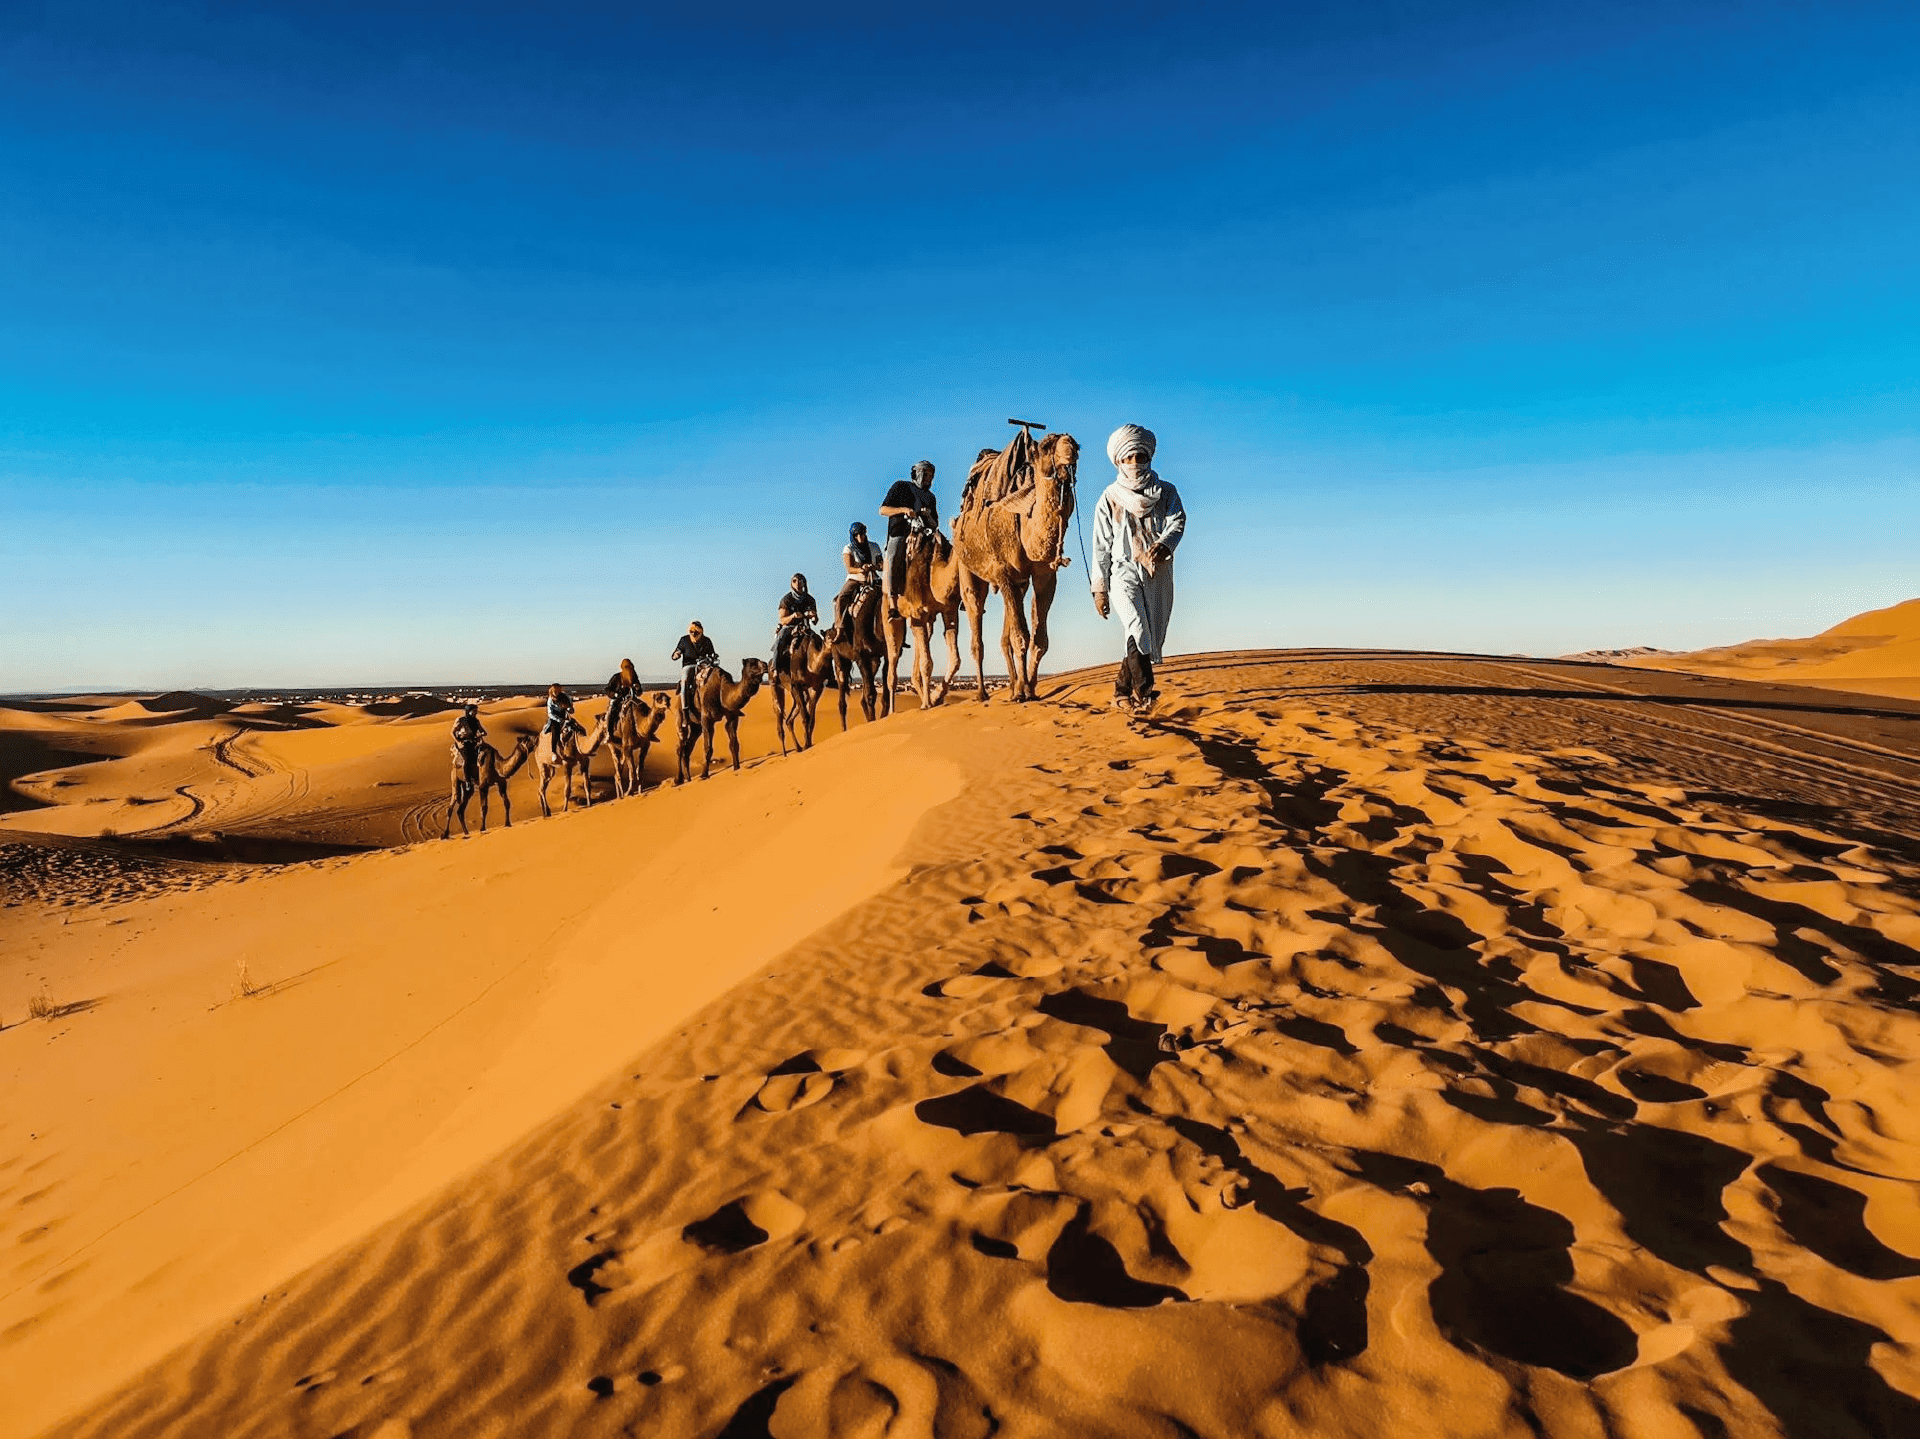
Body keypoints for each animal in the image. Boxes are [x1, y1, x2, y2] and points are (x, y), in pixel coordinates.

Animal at [890, 526, 967, 707]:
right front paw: (928, 703)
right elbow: (926, 663)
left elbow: (955, 659)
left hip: (924, 622)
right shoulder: (918, 613)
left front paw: (937, 696)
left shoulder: (949, 610)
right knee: (893, 661)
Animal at [956, 430, 1082, 699]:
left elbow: (1039, 639)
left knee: (1006, 634)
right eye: (1045, 446)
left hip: (1018, 584)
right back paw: (982, 693)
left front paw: (1029, 688)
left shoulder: (1044, 575)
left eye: (1077, 445)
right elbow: (1020, 636)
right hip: (967, 568)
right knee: (976, 622)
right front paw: (1024, 692)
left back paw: (1013, 685)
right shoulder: (1003, 571)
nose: (1069, 446)